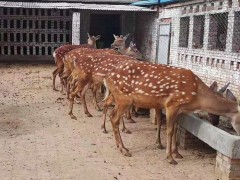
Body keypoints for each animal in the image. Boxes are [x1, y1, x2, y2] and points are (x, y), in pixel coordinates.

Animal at [103, 60, 240, 165]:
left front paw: (177, 153)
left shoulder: (180, 109)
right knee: (114, 117)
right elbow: (169, 131)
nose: (216, 122)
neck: (197, 96)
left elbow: (175, 129)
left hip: (119, 98)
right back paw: (123, 149)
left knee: (110, 112)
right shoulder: (172, 104)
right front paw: (170, 158)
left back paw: (121, 145)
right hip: (123, 97)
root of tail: (107, 77)